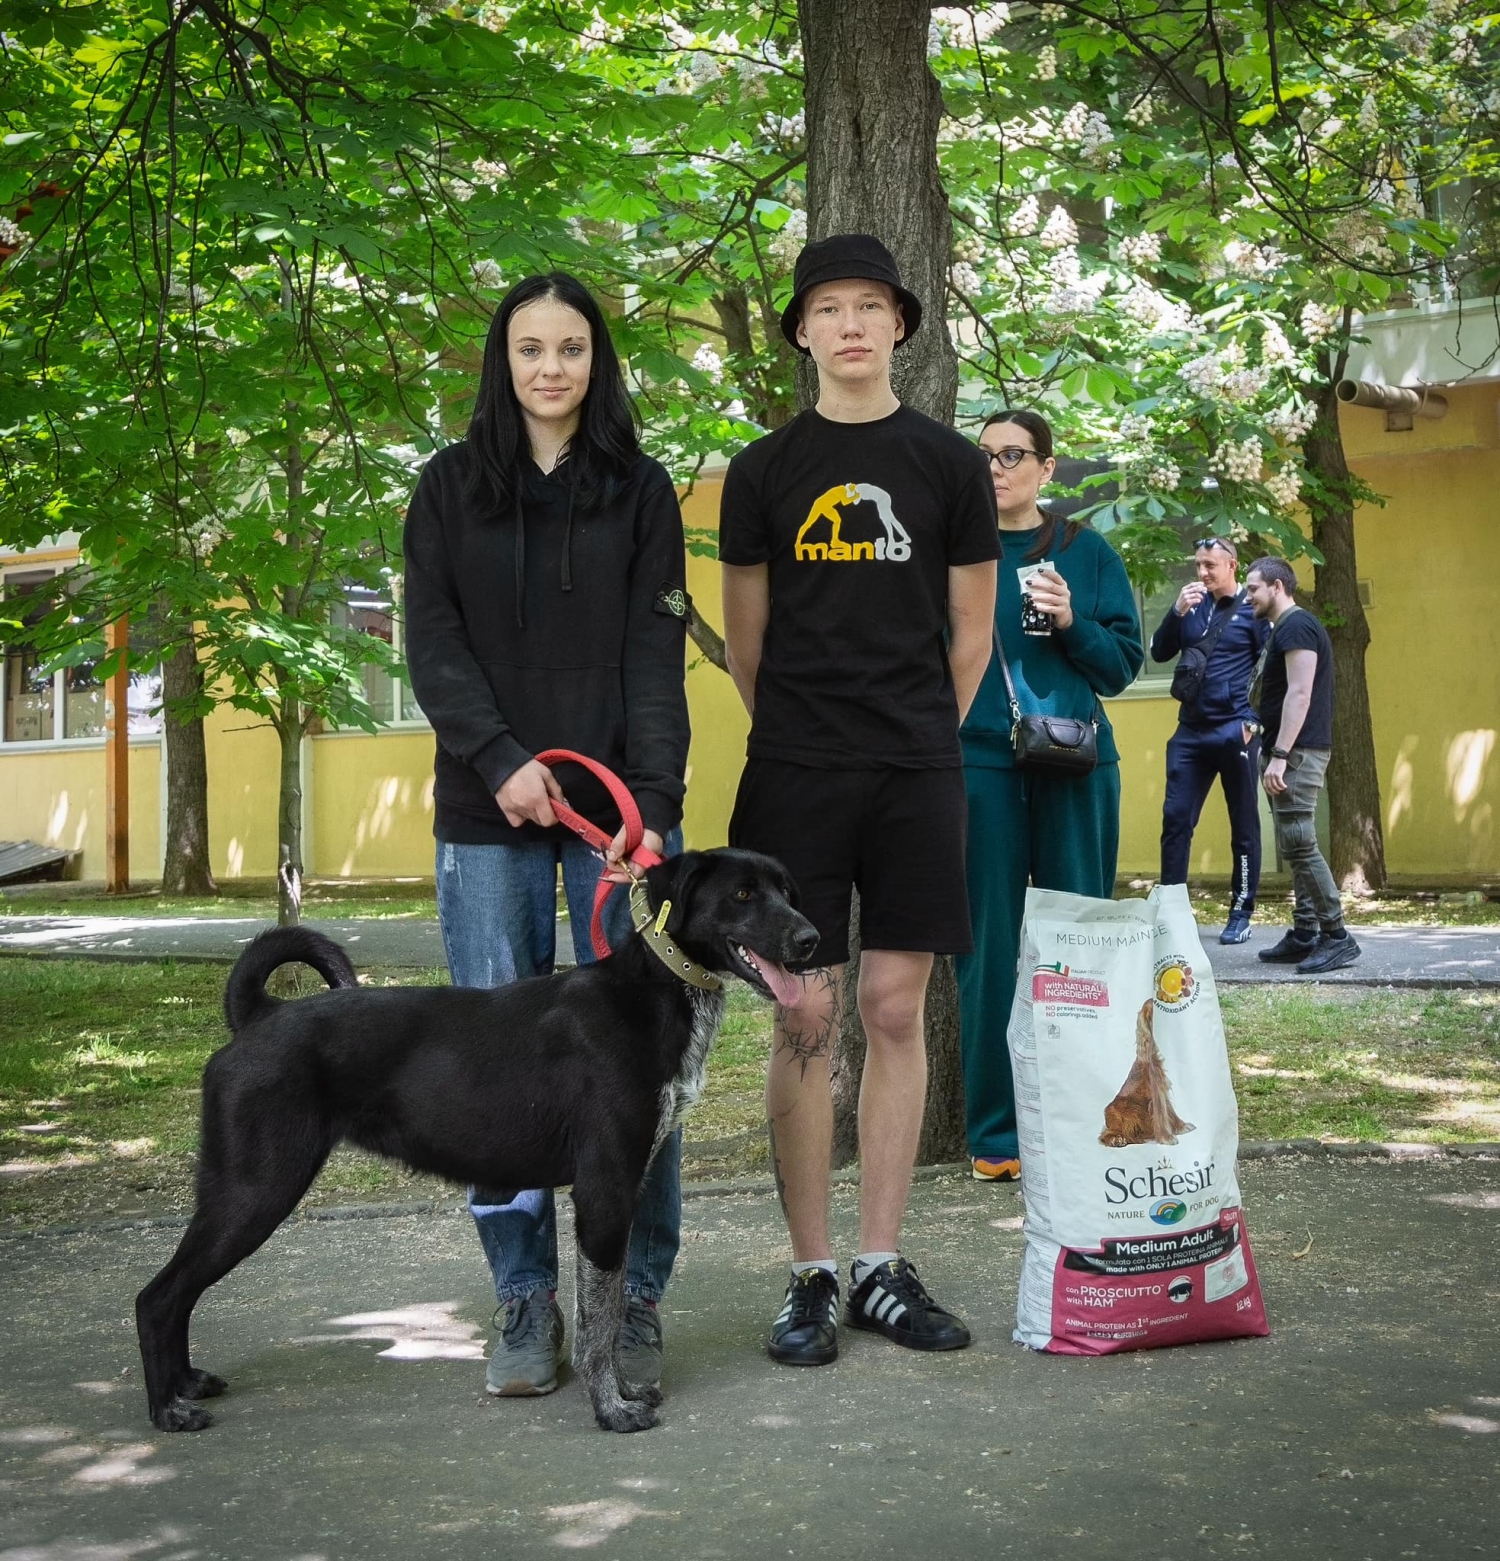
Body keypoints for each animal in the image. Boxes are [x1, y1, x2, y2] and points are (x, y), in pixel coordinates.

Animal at [137, 849, 817, 1429]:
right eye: (743, 894)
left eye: (787, 891)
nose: (811, 940)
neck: (654, 990)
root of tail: (261, 1015)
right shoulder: (605, 1192)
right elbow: (597, 1320)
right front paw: (610, 1409)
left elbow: (604, 1310)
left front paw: (622, 1390)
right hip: (254, 1190)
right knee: (158, 1297)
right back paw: (167, 1409)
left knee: (177, 1296)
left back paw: (186, 1385)